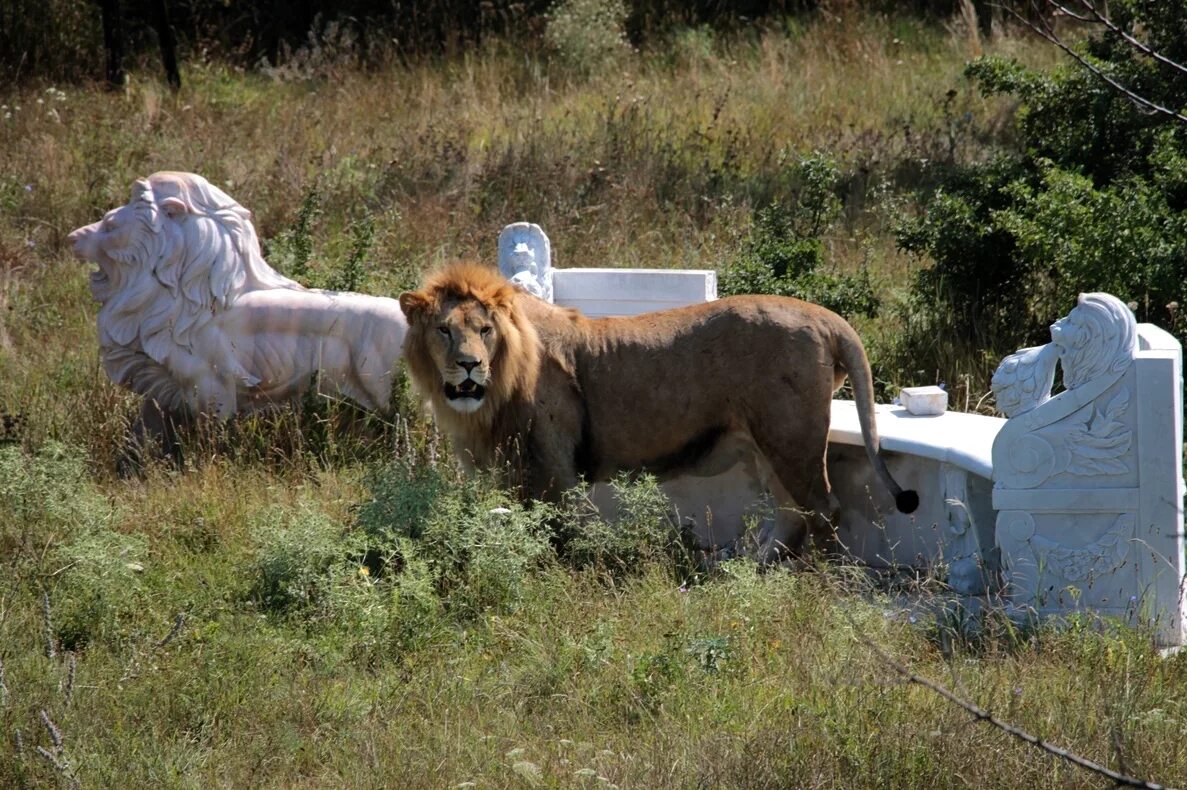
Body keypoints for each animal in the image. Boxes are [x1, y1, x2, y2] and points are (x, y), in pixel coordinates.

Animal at [71, 169, 413, 457]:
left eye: (111, 224)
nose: (73, 237)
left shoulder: (211, 386)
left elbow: (209, 441)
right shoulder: (163, 387)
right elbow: (142, 433)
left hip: (387, 394)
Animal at [398, 260, 916, 550]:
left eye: (485, 330)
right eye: (444, 331)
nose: (468, 366)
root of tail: (828, 317)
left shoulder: (551, 466)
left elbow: (553, 533)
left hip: (791, 439)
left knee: (824, 510)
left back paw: (816, 586)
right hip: (770, 446)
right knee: (793, 513)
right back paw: (755, 572)